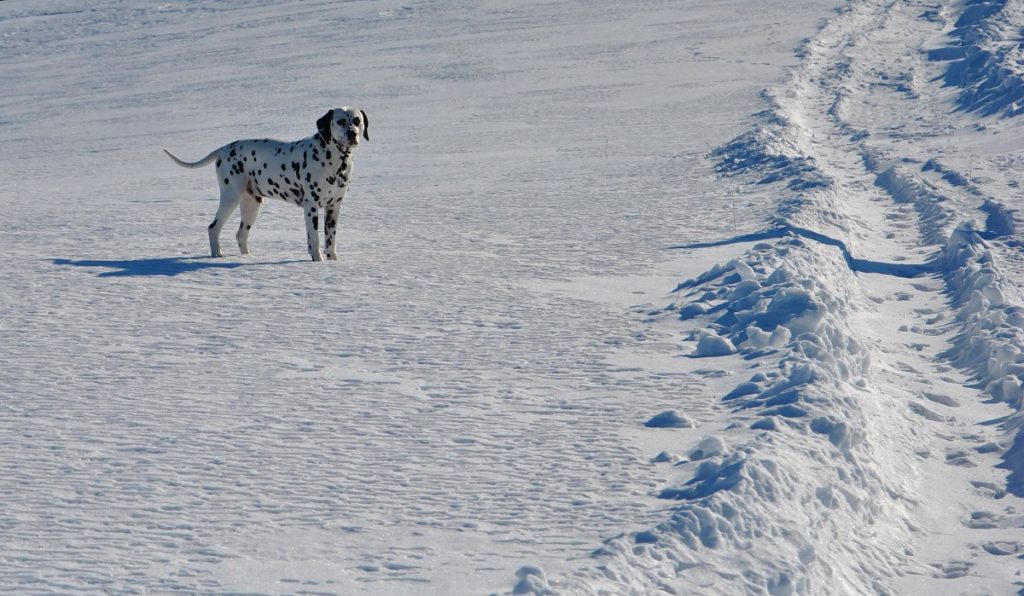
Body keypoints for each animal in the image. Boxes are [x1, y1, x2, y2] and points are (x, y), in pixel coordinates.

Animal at [161, 109, 366, 262]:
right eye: (340, 121)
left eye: (357, 120)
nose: (352, 133)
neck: (335, 161)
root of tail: (223, 149)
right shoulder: (311, 208)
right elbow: (314, 240)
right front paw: (318, 262)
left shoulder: (334, 208)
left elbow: (330, 240)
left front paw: (332, 261)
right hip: (230, 198)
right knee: (213, 228)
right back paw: (217, 254)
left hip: (252, 205)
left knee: (241, 235)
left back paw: (246, 258)